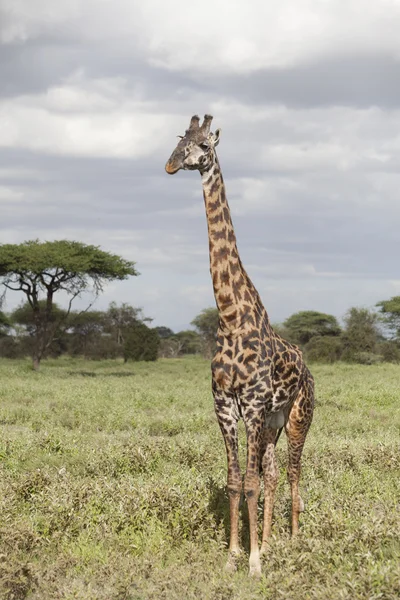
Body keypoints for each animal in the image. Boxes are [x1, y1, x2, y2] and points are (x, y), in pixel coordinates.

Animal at [164, 115, 314, 580]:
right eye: (179, 141)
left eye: (204, 145)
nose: (171, 165)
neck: (230, 317)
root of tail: (308, 369)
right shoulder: (225, 405)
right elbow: (235, 482)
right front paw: (235, 556)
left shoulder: (251, 403)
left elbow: (248, 483)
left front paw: (253, 563)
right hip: (272, 422)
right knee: (271, 472)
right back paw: (269, 541)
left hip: (297, 416)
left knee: (292, 471)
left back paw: (293, 541)